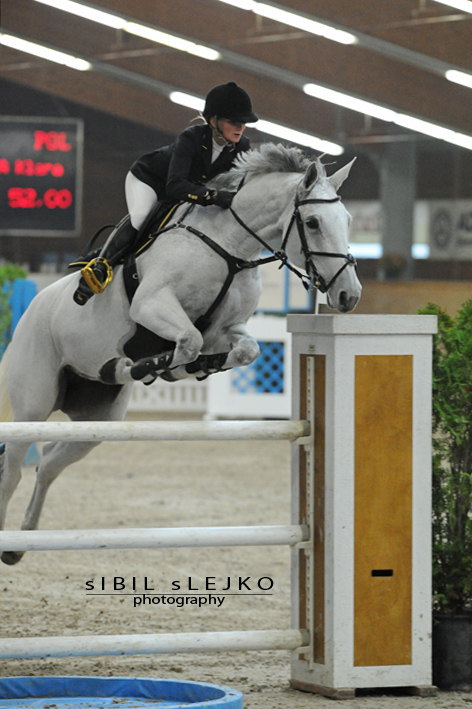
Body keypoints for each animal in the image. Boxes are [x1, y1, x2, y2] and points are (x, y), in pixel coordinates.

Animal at [0, 143, 361, 564]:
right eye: (315, 222)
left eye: (348, 220)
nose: (349, 296)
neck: (230, 248)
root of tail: (33, 305)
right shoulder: (153, 305)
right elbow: (187, 341)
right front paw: (140, 366)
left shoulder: (226, 329)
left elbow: (242, 350)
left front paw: (193, 368)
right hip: (33, 405)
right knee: (13, 469)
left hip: (96, 421)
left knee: (48, 464)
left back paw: (22, 541)